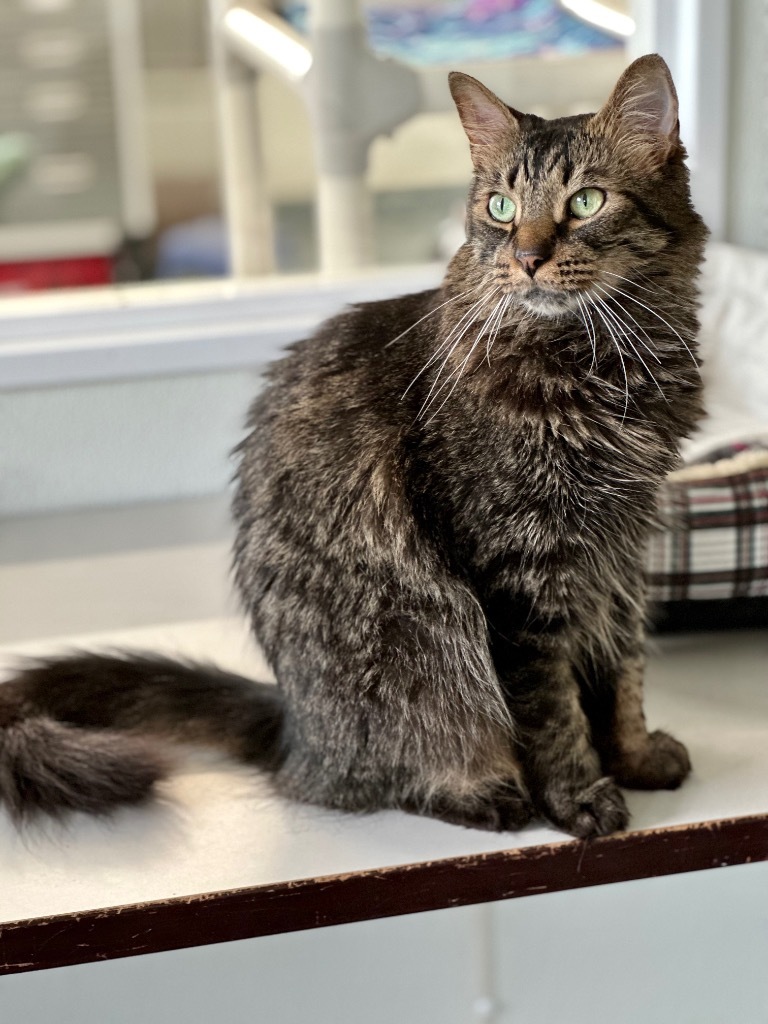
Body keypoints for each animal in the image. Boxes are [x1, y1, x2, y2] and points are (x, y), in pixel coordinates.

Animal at [0, 56, 708, 835]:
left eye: (585, 202)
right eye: (500, 208)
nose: (526, 258)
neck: (609, 364)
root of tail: (296, 731)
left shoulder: (622, 554)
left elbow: (623, 673)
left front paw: (635, 757)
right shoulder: (521, 579)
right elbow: (553, 711)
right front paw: (579, 795)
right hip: (424, 644)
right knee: (399, 769)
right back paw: (488, 795)